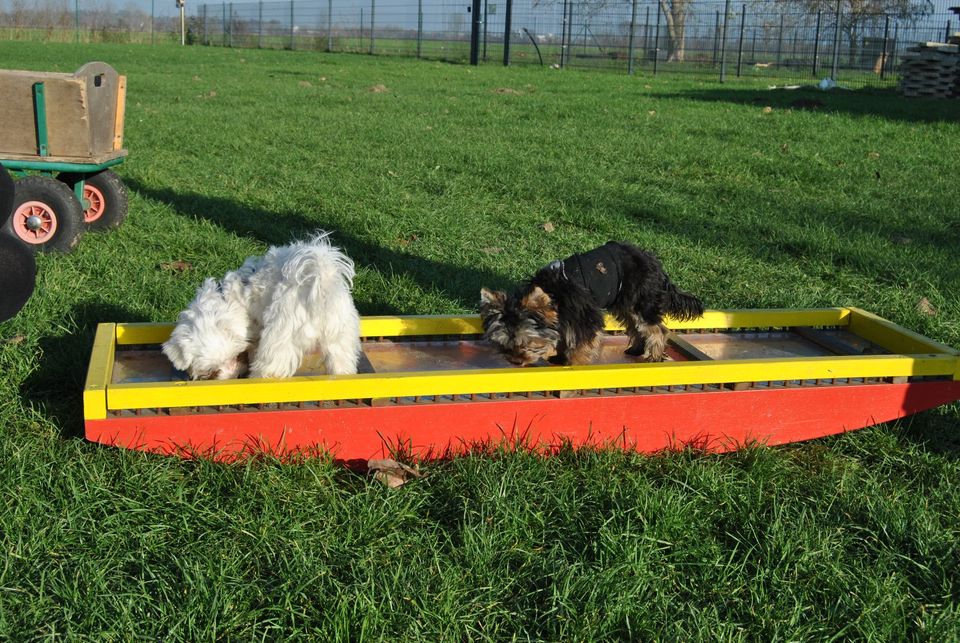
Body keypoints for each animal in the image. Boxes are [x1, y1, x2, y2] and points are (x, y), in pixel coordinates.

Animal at [163, 233, 362, 380]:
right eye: (209, 372)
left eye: (237, 355)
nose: (233, 376)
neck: (225, 301)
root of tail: (320, 278)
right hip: (341, 336)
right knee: (342, 362)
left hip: (280, 336)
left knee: (271, 367)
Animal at [484, 242, 700, 364]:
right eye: (503, 345)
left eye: (528, 343)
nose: (514, 361)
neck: (554, 294)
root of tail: (656, 265)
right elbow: (564, 337)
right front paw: (559, 357)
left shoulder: (584, 316)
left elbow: (581, 344)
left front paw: (572, 363)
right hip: (625, 303)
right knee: (636, 326)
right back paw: (636, 349)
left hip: (641, 300)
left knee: (657, 329)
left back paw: (654, 356)